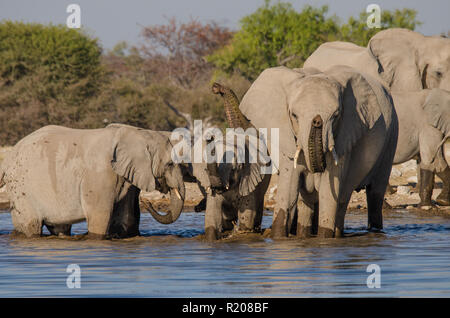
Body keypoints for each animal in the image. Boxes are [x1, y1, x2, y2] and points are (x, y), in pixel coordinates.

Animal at [0, 124, 185, 238]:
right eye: (170, 164)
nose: (147, 202)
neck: (138, 133)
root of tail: (8, 158)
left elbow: (126, 220)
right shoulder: (100, 174)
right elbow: (99, 218)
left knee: (60, 227)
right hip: (21, 189)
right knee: (31, 226)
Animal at [232, 64, 398, 237]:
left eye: (336, 115)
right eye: (294, 115)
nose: (317, 121)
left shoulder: (344, 135)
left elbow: (328, 192)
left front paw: (324, 238)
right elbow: (289, 191)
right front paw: (279, 237)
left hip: (392, 137)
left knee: (370, 194)